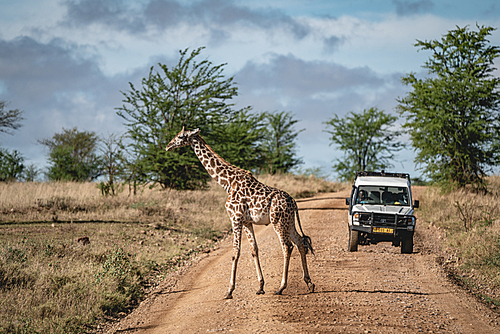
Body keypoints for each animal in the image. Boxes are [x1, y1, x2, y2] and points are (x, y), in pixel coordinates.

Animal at [166, 128, 314, 300]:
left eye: (180, 136)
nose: (168, 146)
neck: (227, 183)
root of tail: (293, 202)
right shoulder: (247, 222)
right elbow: (254, 250)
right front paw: (260, 287)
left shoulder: (235, 219)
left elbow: (235, 252)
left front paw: (229, 291)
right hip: (288, 222)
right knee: (300, 242)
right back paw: (309, 283)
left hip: (278, 222)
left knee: (287, 246)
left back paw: (281, 287)